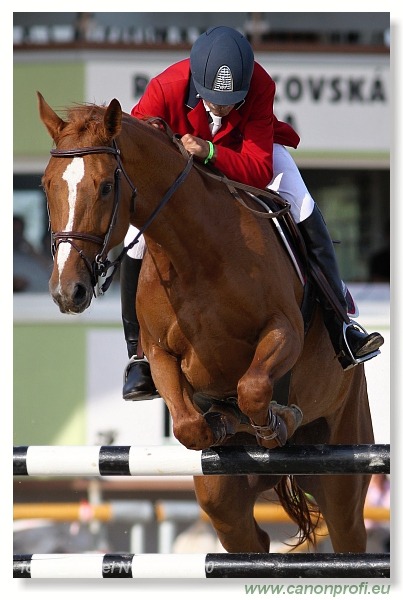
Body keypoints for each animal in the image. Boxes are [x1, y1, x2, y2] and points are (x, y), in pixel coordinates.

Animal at [38, 92, 376, 552]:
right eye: (46, 185)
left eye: (106, 186)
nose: (66, 291)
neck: (194, 254)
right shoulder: (161, 355)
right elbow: (188, 426)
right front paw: (221, 420)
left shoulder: (283, 330)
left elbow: (253, 389)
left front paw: (278, 419)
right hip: (224, 504)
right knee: (249, 536)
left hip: (342, 472)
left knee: (346, 527)